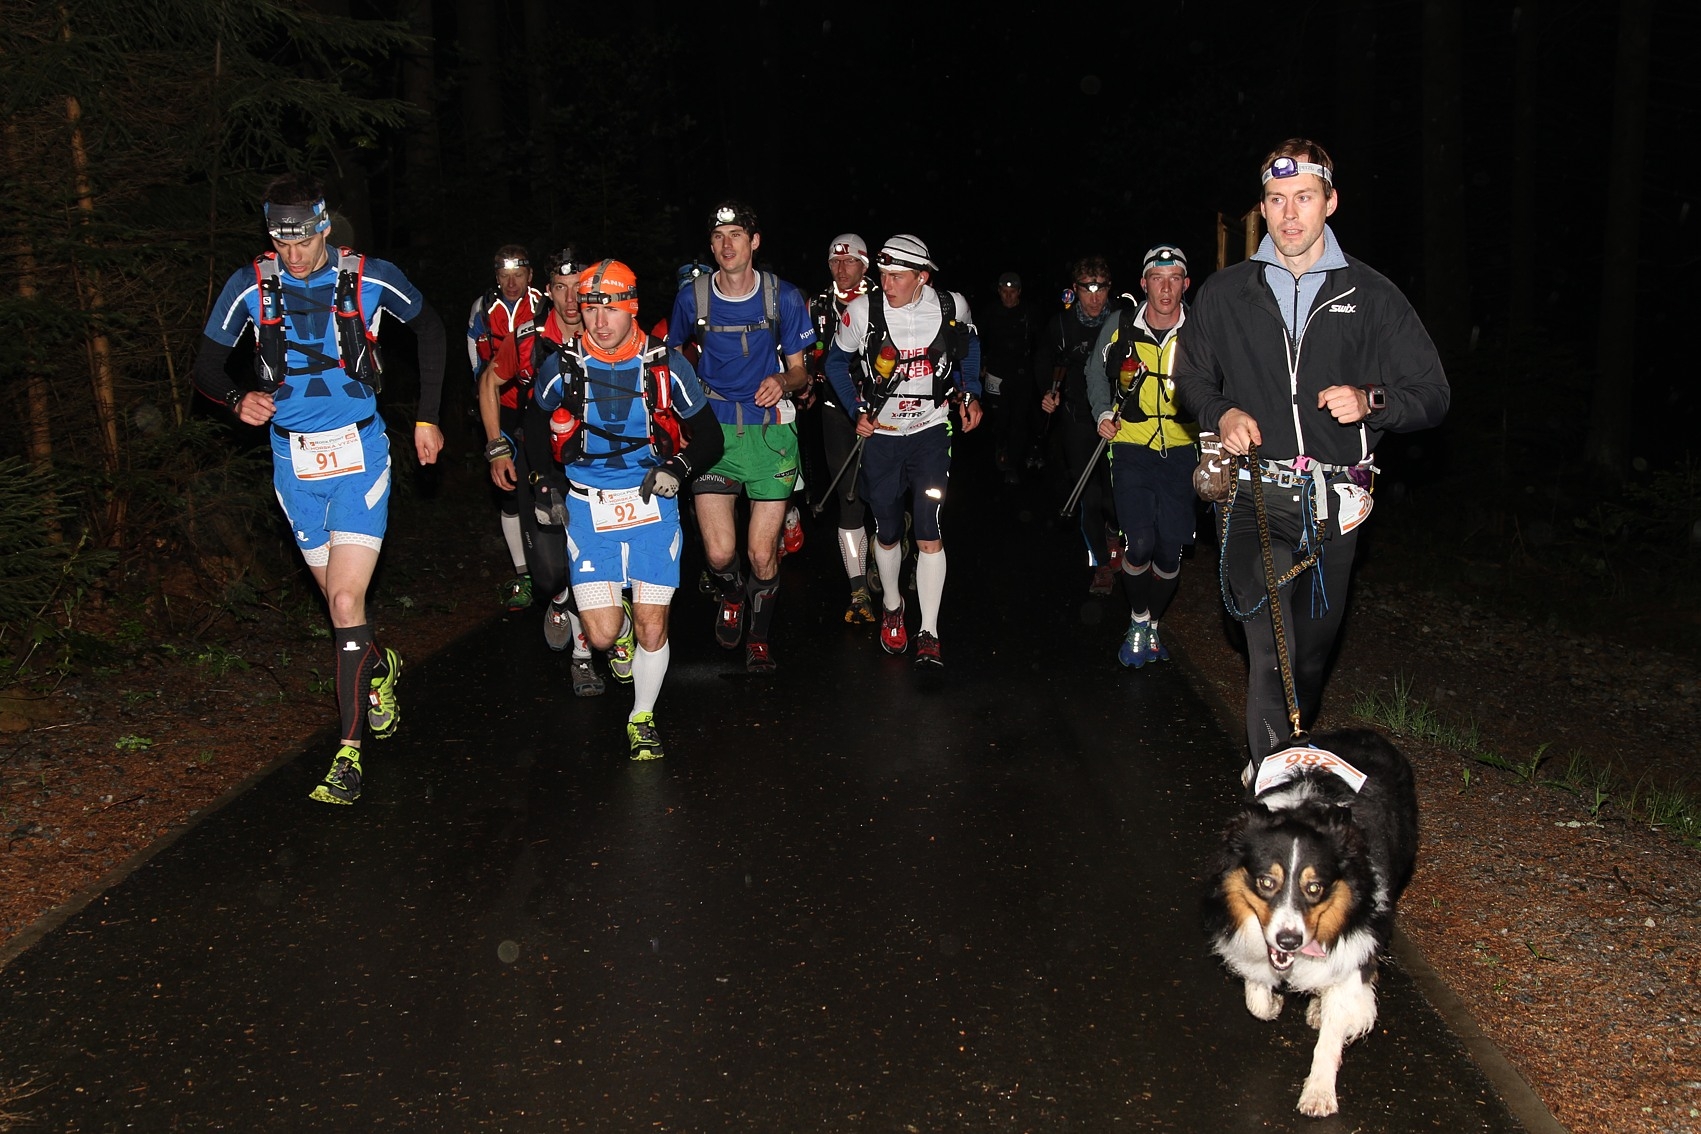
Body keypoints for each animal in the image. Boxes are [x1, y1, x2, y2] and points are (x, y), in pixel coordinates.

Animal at [1204, 727, 1428, 1115]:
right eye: (1267, 882)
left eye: (1315, 888)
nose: (1289, 941)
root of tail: (1366, 731)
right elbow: (1256, 998)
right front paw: (1273, 1003)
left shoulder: (1357, 943)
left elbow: (1335, 1026)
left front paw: (1319, 1092)